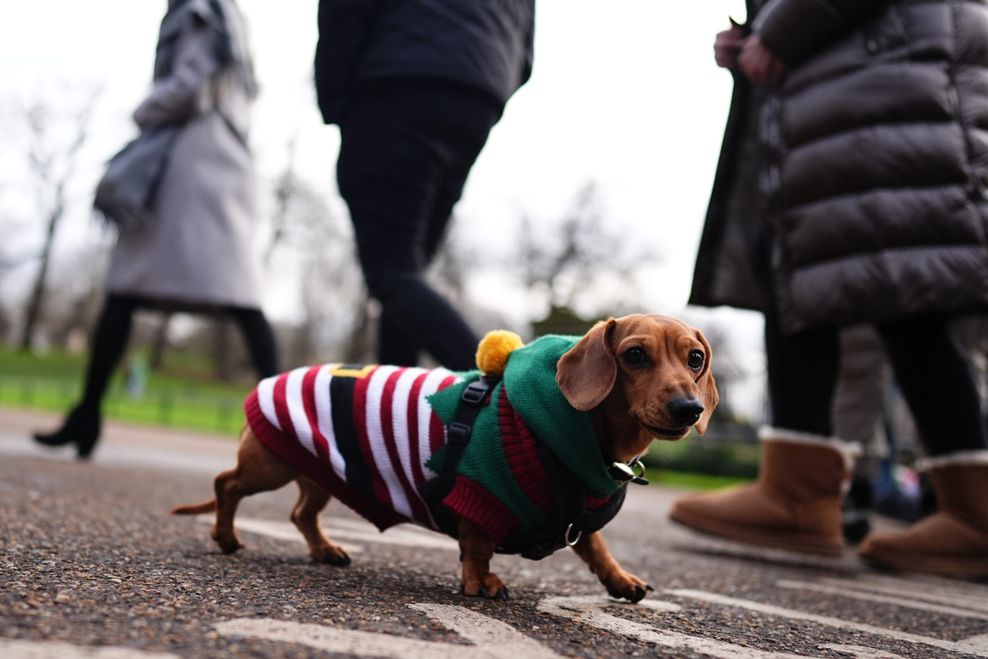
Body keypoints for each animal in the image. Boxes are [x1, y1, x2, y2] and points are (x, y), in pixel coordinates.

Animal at [174, 314, 716, 604]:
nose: (689, 409)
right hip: (269, 465)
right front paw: (481, 583)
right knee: (226, 485)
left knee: (301, 514)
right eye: (634, 356)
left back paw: (325, 550)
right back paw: (226, 536)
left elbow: (596, 546)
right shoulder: (478, 496)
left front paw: (621, 580)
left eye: (695, 359)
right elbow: (476, 548)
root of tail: (271, 380)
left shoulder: (573, 514)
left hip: (320, 474)